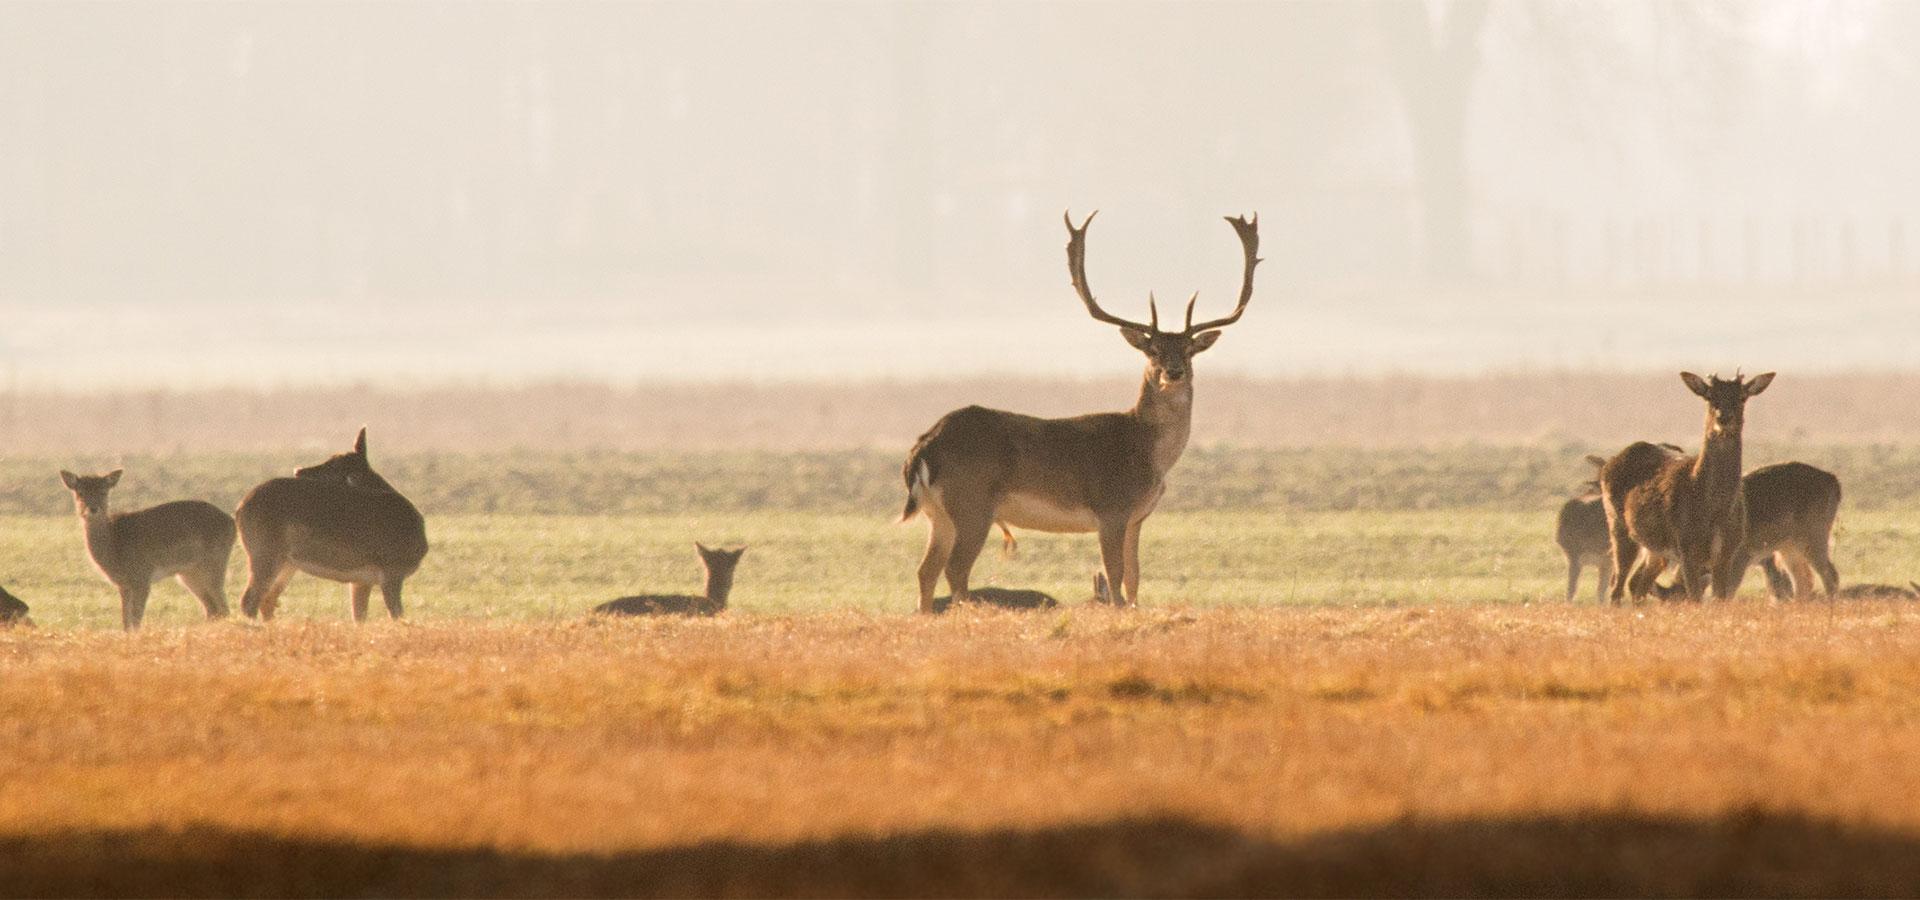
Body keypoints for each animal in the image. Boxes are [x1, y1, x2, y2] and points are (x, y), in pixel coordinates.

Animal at [59, 466, 237, 629]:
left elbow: (136, 619)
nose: (93, 509)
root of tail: (232, 522)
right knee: (212, 609)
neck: (114, 546)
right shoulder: (123, 584)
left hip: (214, 563)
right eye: (80, 492)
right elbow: (126, 622)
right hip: (189, 573)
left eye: (104, 491)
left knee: (223, 607)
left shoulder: (142, 577)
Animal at [232, 426, 428, 621]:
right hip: (265, 552)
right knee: (250, 599)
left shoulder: (362, 581)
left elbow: (359, 617)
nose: (299, 470)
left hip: (286, 563)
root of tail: (240, 507)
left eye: (334, 464)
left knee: (267, 599)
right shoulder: (391, 571)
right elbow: (396, 614)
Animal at [898, 211, 1259, 614]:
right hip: (972, 502)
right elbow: (1115, 576)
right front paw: (1116, 612)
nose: (1173, 372)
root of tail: (924, 447)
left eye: (1189, 350)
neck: (1148, 453)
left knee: (925, 571)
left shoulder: (1137, 517)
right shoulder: (1112, 508)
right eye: (1152, 351)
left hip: (937, 514)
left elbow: (1135, 579)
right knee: (955, 569)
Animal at [1597, 372, 1774, 602]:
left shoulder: (1728, 550)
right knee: (1616, 586)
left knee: (1637, 584)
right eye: (1710, 397)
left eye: (1742, 397)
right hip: (1617, 525)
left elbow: (1720, 599)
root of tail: (1607, 465)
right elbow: (1695, 599)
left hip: (1656, 549)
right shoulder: (1687, 546)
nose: (1723, 418)